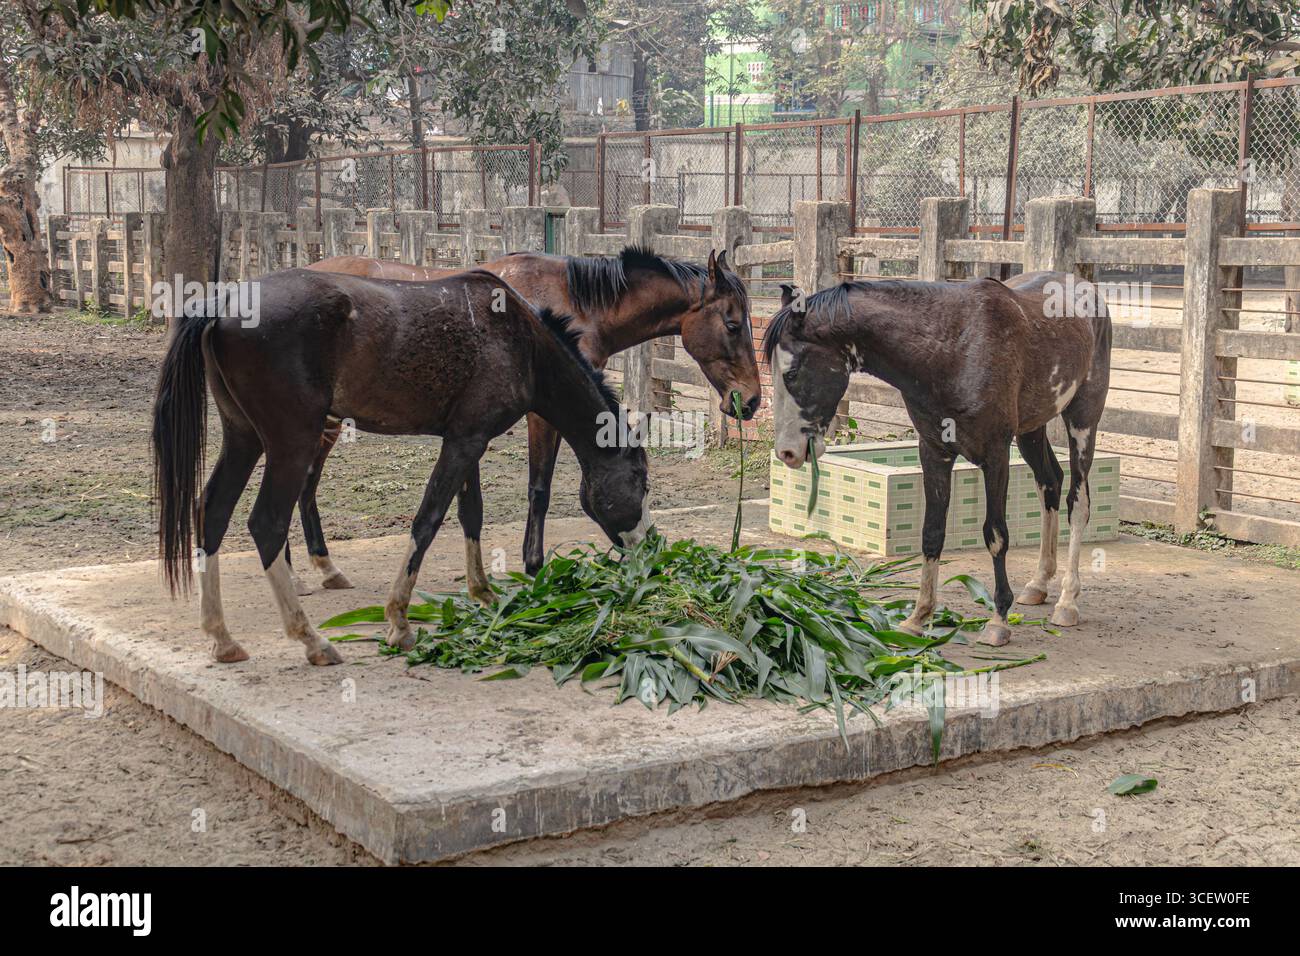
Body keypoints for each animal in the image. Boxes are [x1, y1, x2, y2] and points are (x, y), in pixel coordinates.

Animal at [151, 268, 650, 664]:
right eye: (641, 481)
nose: (648, 549)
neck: (520, 340)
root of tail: (223, 303)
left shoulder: (467, 440)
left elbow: (470, 515)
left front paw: (483, 593)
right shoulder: (465, 442)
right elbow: (427, 520)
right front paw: (399, 621)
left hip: (244, 438)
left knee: (212, 512)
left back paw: (222, 638)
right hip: (291, 443)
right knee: (266, 524)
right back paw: (311, 639)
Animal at [293, 245, 759, 596]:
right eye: (733, 324)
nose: (751, 400)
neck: (570, 302)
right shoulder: (543, 412)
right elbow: (540, 489)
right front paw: (534, 565)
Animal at [765, 271, 1110, 645]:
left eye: (792, 373)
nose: (787, 452)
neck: (951, 351)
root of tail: (1086, 288)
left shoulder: (996, 455)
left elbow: (996, 534)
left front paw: (998, 621)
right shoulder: (933, 452)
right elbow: (932, 532)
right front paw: (919, 616)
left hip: (1082, 421)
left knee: (1078, 501)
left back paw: (1068, 600)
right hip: (1031, 430)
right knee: (1050, 483)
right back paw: (1039, 583)